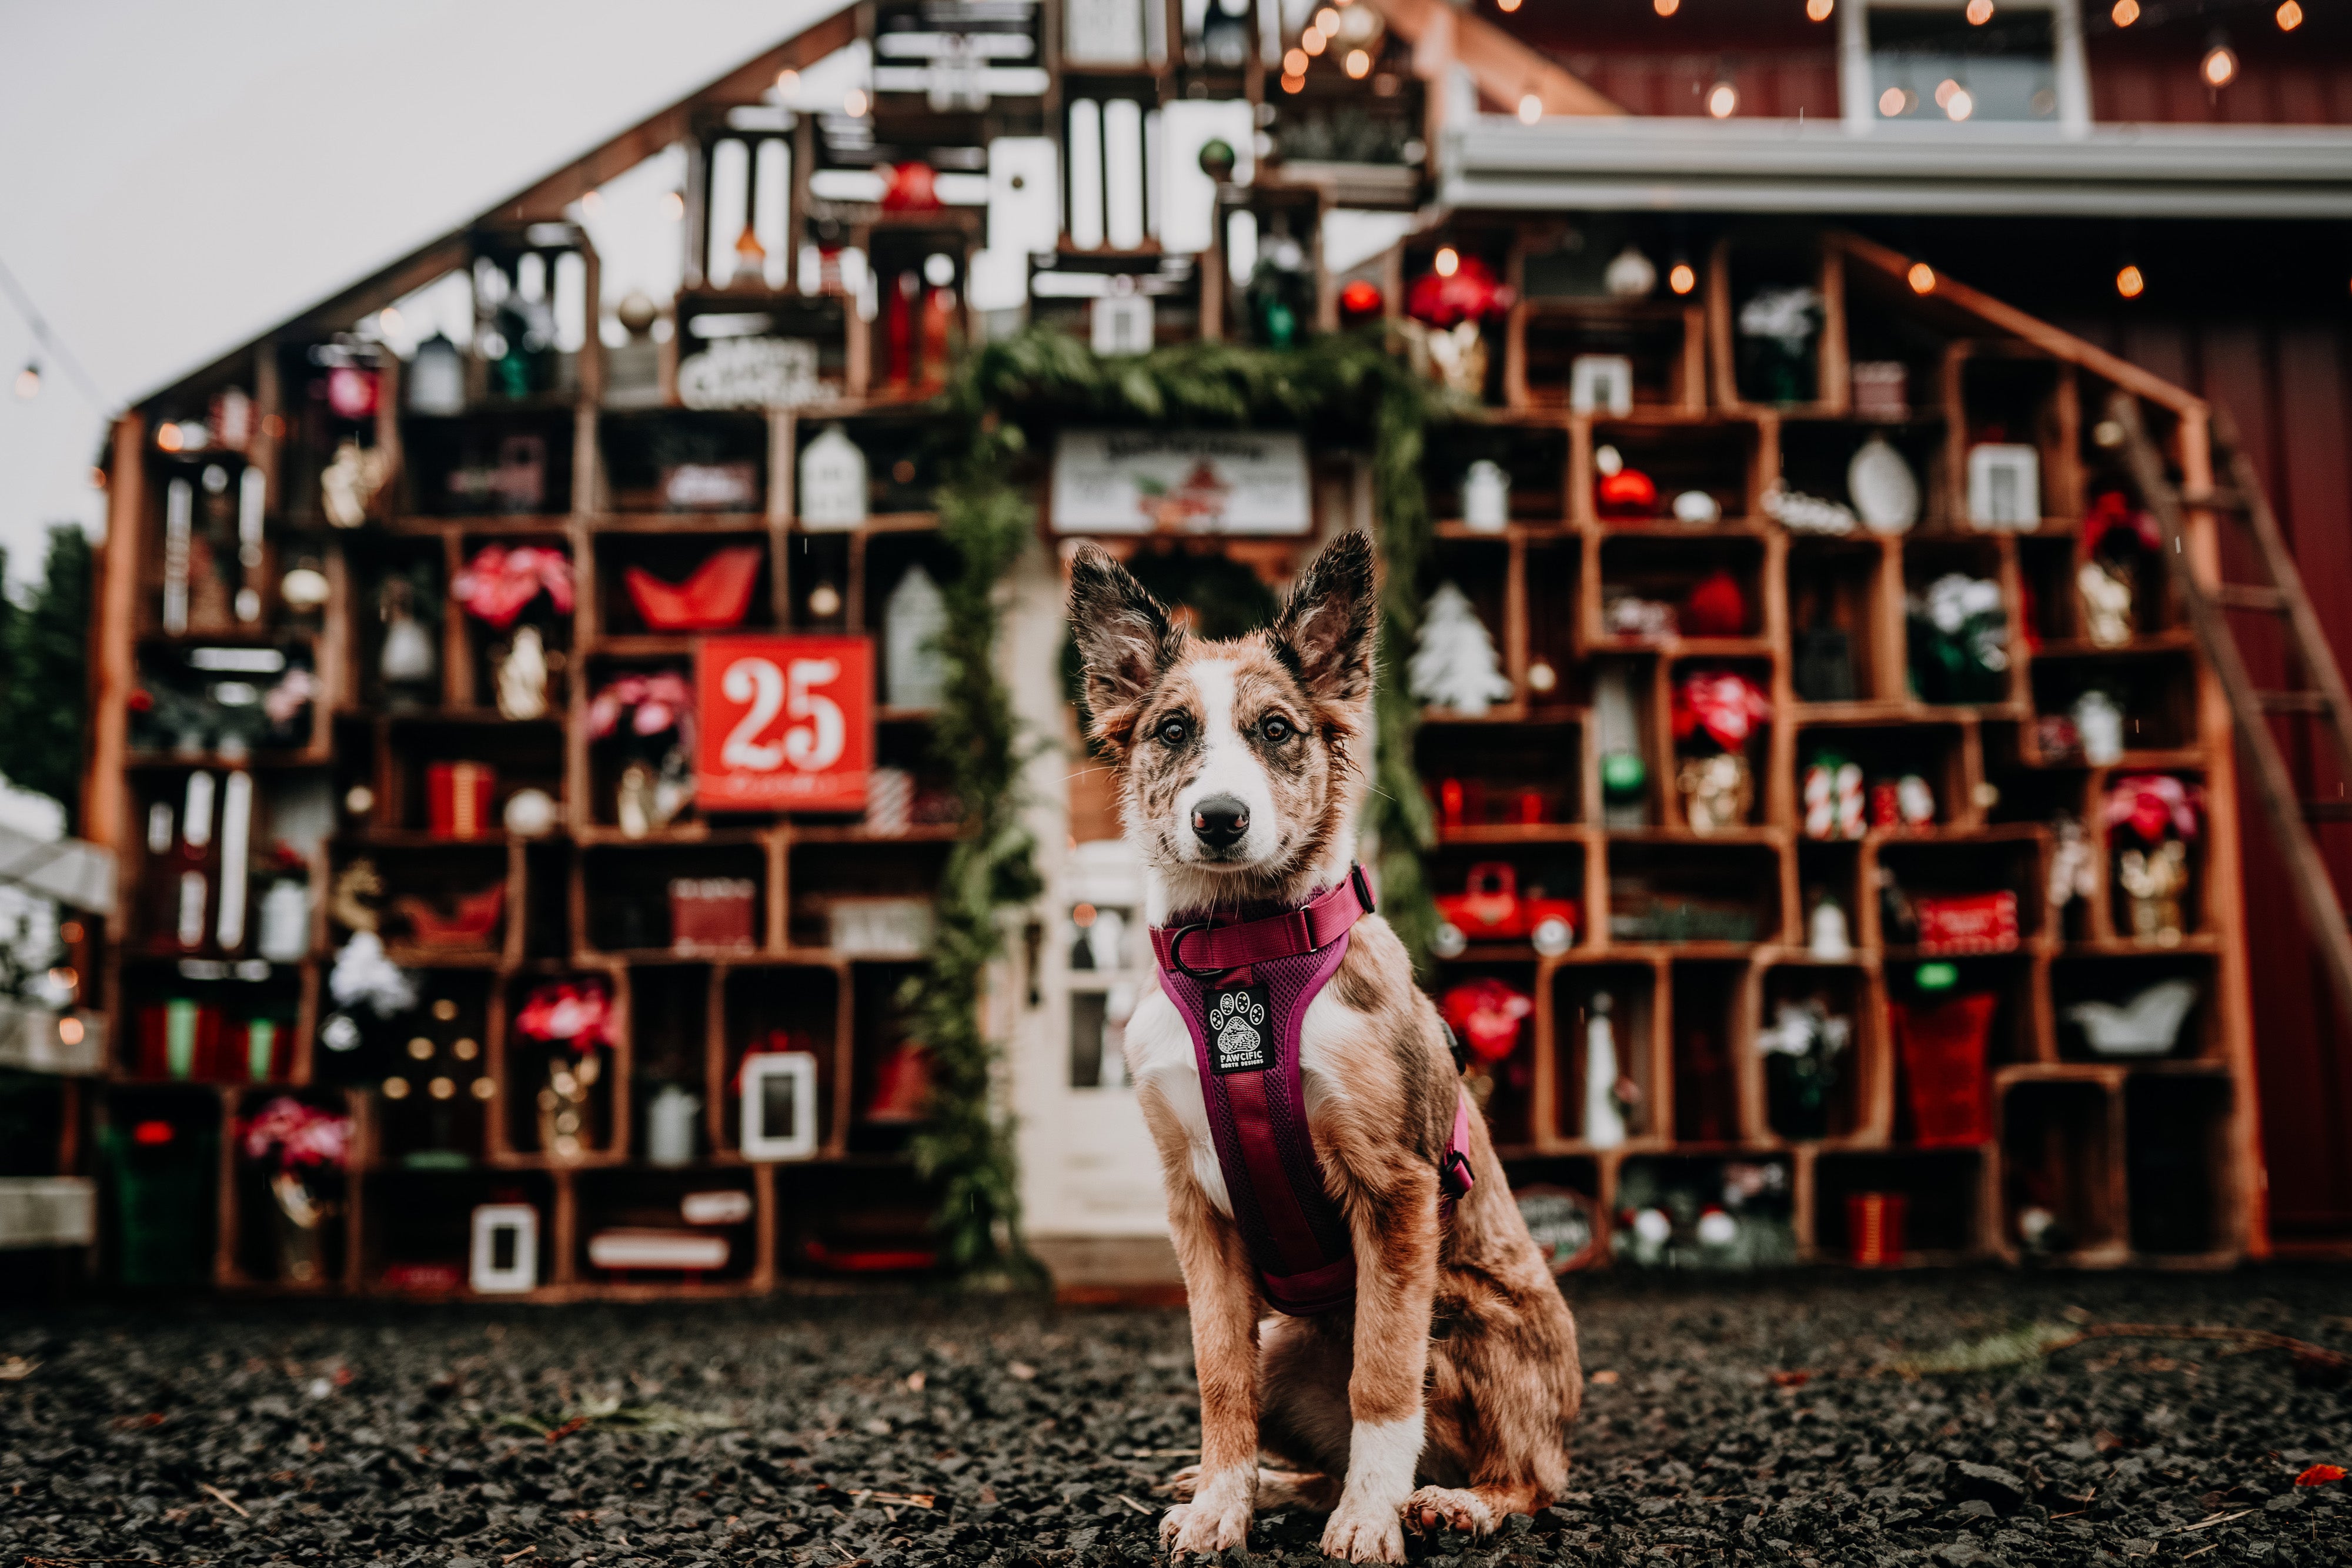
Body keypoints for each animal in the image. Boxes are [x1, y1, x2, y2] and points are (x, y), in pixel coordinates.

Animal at [1077, 533, 1590, 1561]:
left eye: (1278, 729)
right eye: (1171, 730)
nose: (1221, 818)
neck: (1241, 957)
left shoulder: (1395, 1189)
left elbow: (1383, 1384)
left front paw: (1369, 1520)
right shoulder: (1194, 1205)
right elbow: (1218, 1376)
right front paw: (1222, 1505)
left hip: (1464, 1314)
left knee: (1531, 1476)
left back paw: (1457, 1500)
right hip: (1288, 1342)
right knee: (1313, 1444)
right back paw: (1276, 1486)